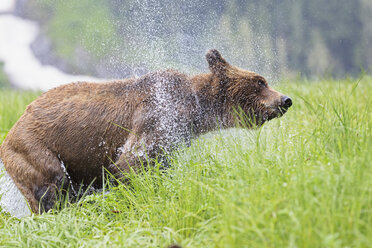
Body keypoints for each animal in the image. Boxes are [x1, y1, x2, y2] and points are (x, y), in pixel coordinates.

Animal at [0, 49, 290, 212]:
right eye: (261, 82)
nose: (286, 100)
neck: (196, 109)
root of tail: (9, 134)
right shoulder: (156, 117)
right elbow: (131, 162)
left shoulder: (173, 137)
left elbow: (159, 164)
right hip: (34, 149)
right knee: (51, 188)